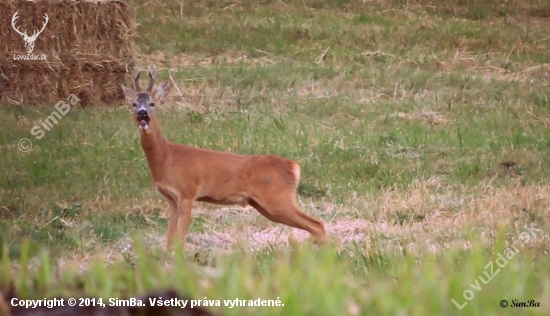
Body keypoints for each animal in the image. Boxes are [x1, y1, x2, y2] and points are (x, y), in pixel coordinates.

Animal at [121, 66, 328, 249]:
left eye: (152, 103)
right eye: (133, 104)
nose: (142, 114)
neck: (167, 158)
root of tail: (294, 166)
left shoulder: (188, 193)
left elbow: (180, 238)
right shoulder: (172, 199)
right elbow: (170, 241)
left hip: (278, 199)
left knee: (318, 225)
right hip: (265, 204)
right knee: (316, 226)